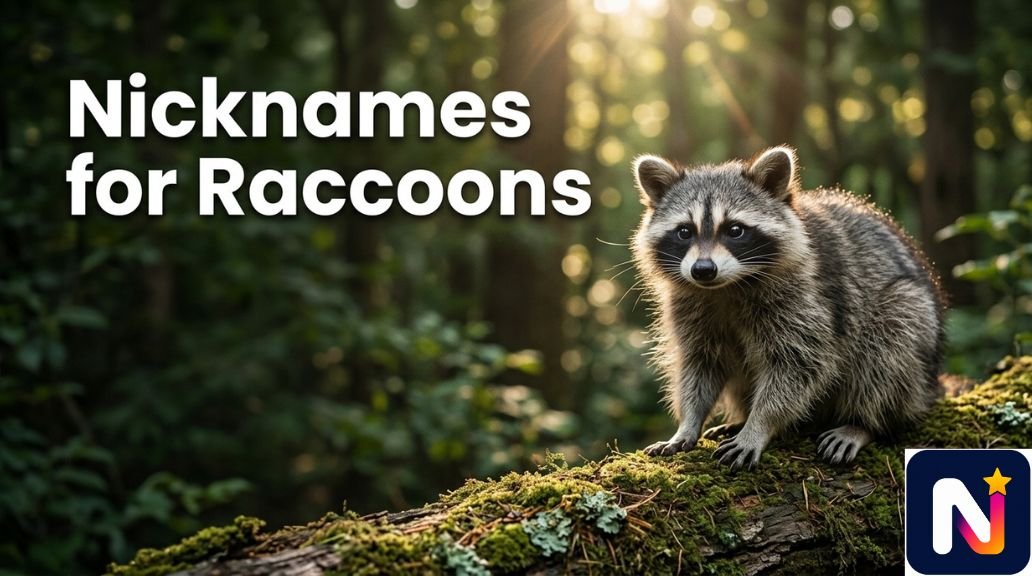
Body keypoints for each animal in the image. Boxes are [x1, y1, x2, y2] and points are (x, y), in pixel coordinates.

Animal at [631, 146, 945, 470]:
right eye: (684, 232)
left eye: (735, 230)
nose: (703, 270)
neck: (726, 287)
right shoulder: (690, 308)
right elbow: (699, 364)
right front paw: (689, 423)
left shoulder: (806, 299)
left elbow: (796, 366)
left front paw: (759, 425)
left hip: (912, 320)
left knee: (889, 345)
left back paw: (862, 423)